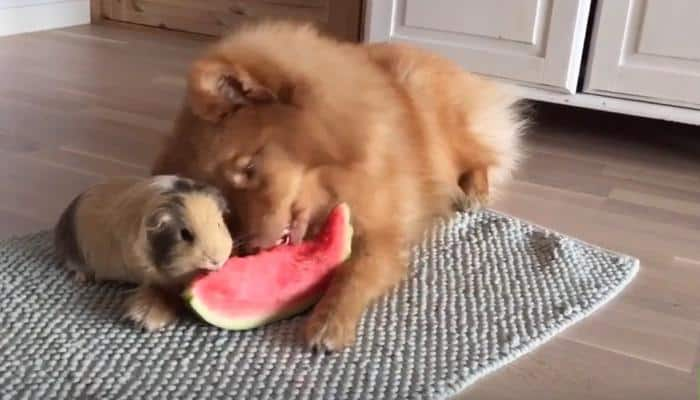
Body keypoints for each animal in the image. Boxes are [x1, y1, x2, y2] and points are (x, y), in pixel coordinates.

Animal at [153, 21, 524, 350]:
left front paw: (330, 321)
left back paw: (471, 193)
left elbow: (353, 272)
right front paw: (157, 295)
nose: (251, 251)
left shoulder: (382, 232)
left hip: (447, 122)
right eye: (224, 200)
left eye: (249, 168)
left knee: (483, 157)